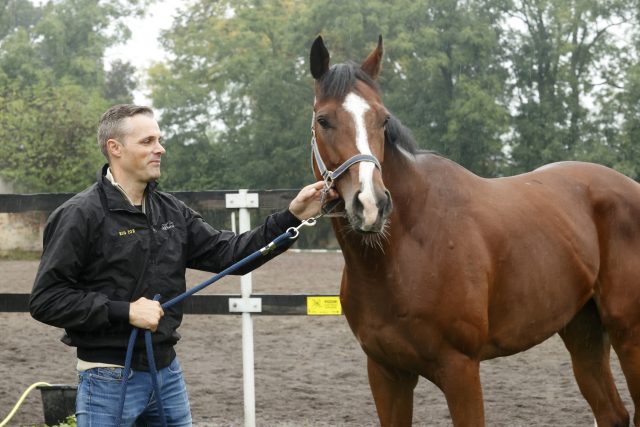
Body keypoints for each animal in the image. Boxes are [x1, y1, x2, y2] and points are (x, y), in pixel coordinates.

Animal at [308, 34, 640, 427]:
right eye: (324, 120)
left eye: (383, 119)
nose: (371, 204)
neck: (404, 249)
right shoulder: (387, 373)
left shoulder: (460, 370)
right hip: (583, 330)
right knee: (613, 413)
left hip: (629, 334)